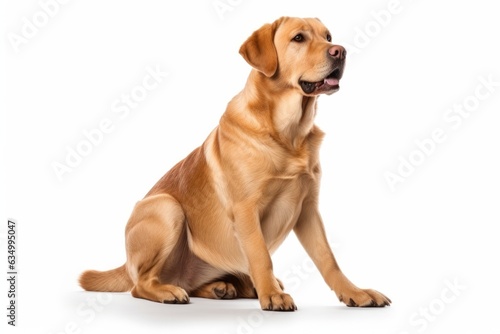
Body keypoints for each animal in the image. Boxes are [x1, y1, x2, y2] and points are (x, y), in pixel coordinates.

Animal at [80, 17, 390, 310]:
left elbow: (328, 259)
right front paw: (272, 296)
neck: (288, 134)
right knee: (140, 284)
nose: (340, 51)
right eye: (298, 38)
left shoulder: (308, 209)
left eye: (328, 37)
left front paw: (355, 293)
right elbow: (261, 256)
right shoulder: (246, 209)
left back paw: (223, 287)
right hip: (167, 208)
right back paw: (171, 291)